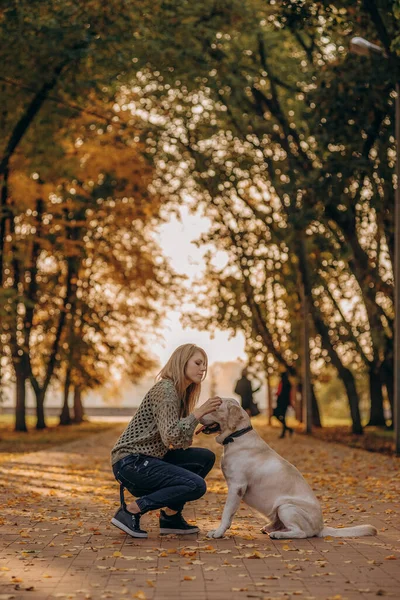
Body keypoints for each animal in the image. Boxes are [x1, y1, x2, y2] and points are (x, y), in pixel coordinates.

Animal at [198, 398, 376, 540]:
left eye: (216, 408)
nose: (199, 413)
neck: (236, 436)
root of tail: (321, 527)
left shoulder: (237, 486)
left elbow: (227, 512)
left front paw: (218, 532)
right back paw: (271, 528)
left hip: (286, 507)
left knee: (301, 533)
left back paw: (277, 534)